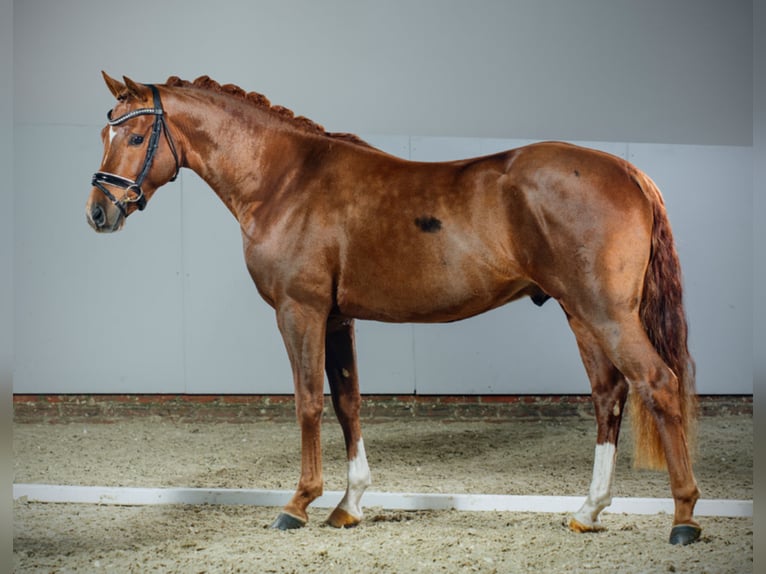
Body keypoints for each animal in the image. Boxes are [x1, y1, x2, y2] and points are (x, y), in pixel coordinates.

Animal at [86, 73, 700, 545]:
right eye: (105, 130)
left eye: (136, 135)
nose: (98, 212)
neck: (285, 179)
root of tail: (630, 172)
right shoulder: (338, 318)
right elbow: (347, 403)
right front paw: (348, 505)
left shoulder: (299, 311)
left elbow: (308, 402)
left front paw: (298, 504)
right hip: (582, 314)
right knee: (609, 395)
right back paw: (587, 512)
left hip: (605, 313)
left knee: (658, 384)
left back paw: (684, 518)